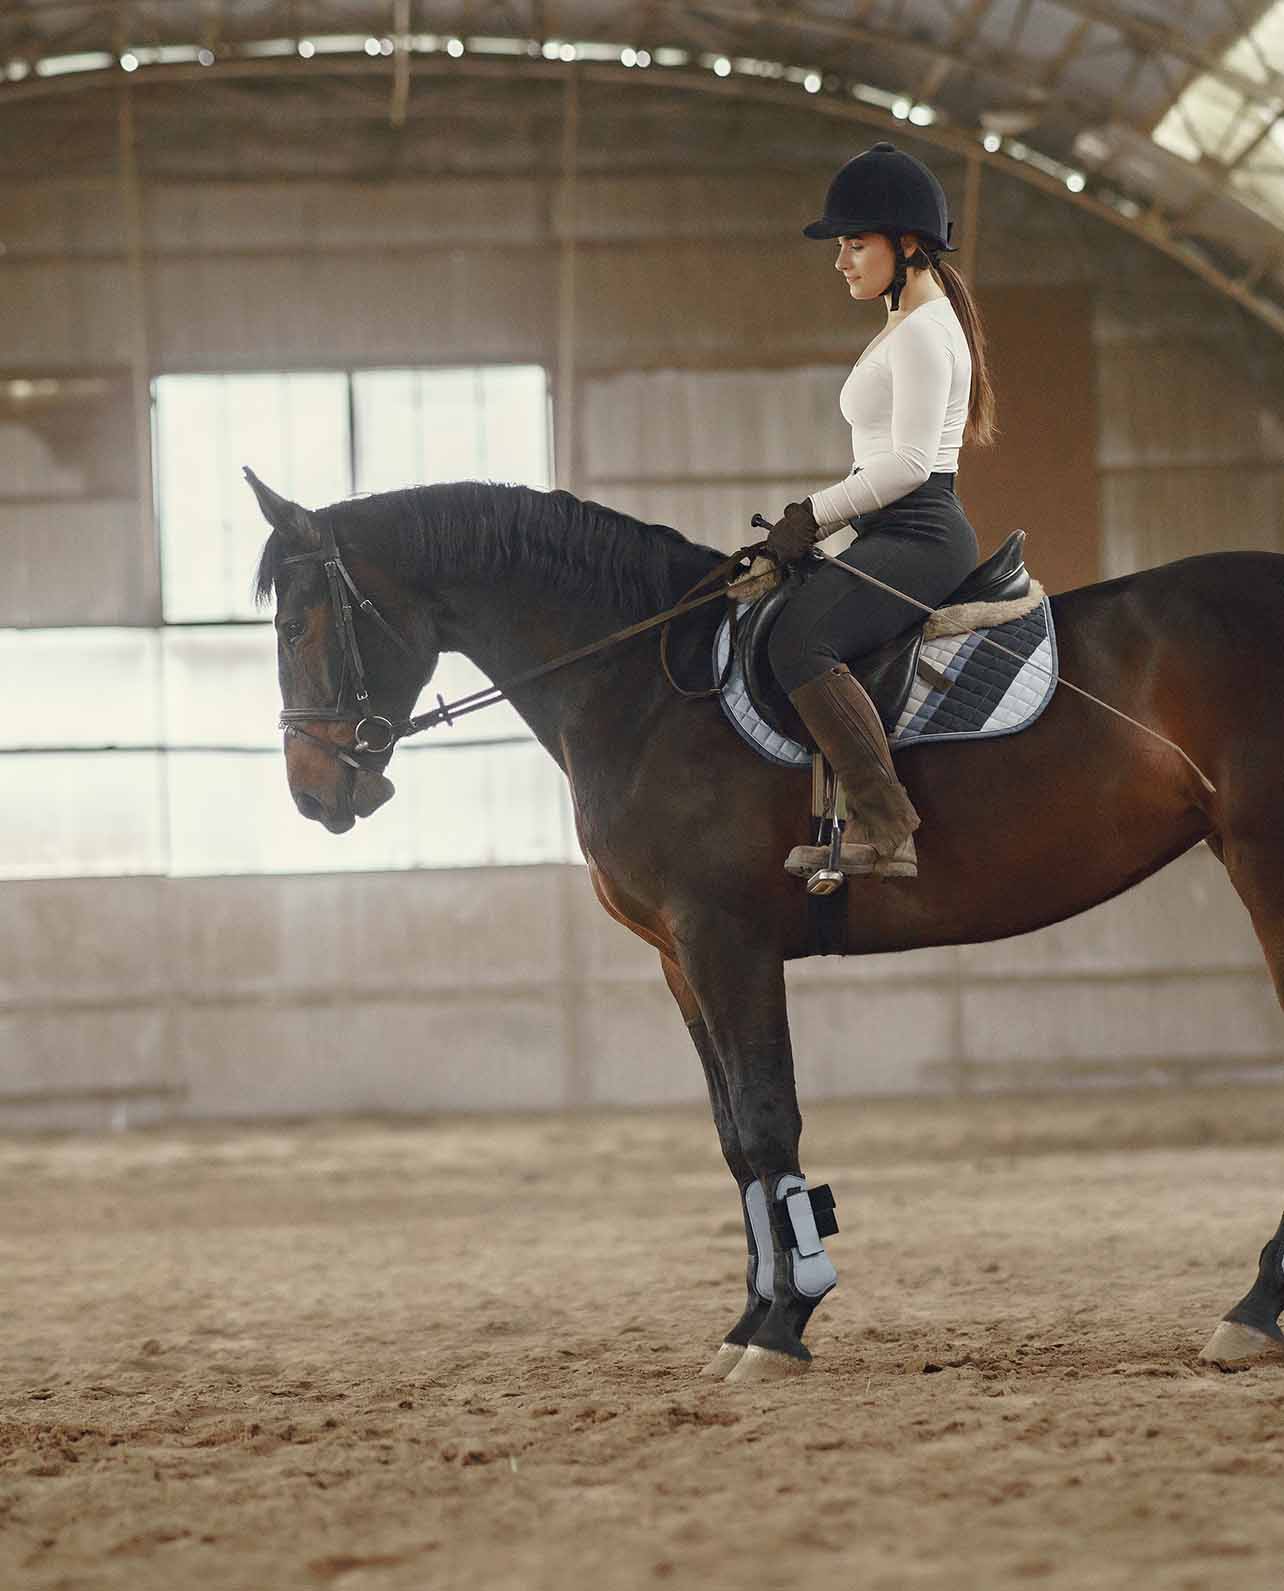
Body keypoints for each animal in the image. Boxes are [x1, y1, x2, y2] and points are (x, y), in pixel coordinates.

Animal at [248, 467, 1284, 1380]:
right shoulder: (681, 957)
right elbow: (733, 1138)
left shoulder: (727, 940)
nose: (310, 794)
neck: (638, 686)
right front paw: (752, 1318)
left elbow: (766, 1116)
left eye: (299, 624)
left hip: (1264, 860)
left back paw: (1254, 1311)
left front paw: (783, 1325)